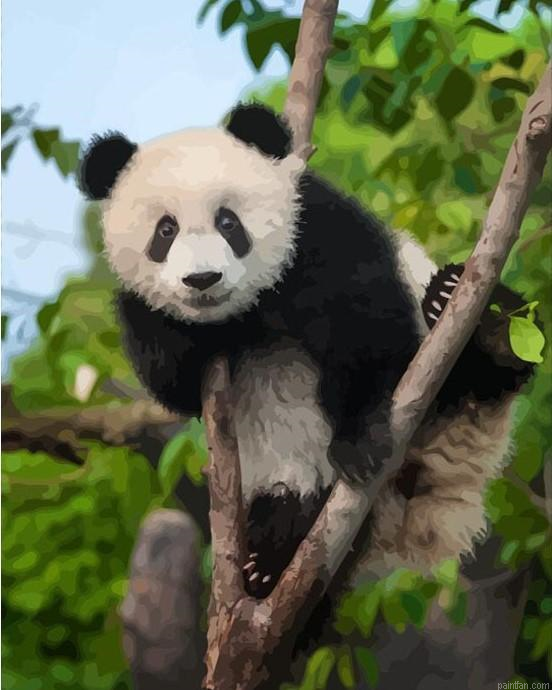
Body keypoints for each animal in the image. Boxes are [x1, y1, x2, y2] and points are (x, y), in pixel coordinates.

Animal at [79, 103, 535, 600]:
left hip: (454, 372)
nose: (202, 280)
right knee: (286, 502)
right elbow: (172, 383)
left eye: (228, 222)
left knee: (482, 361)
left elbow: (366, 329)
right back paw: (271, 558)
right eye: (166, 231)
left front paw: (358, 442)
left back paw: (474, 316)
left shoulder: (317, 232)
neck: (246, 312)